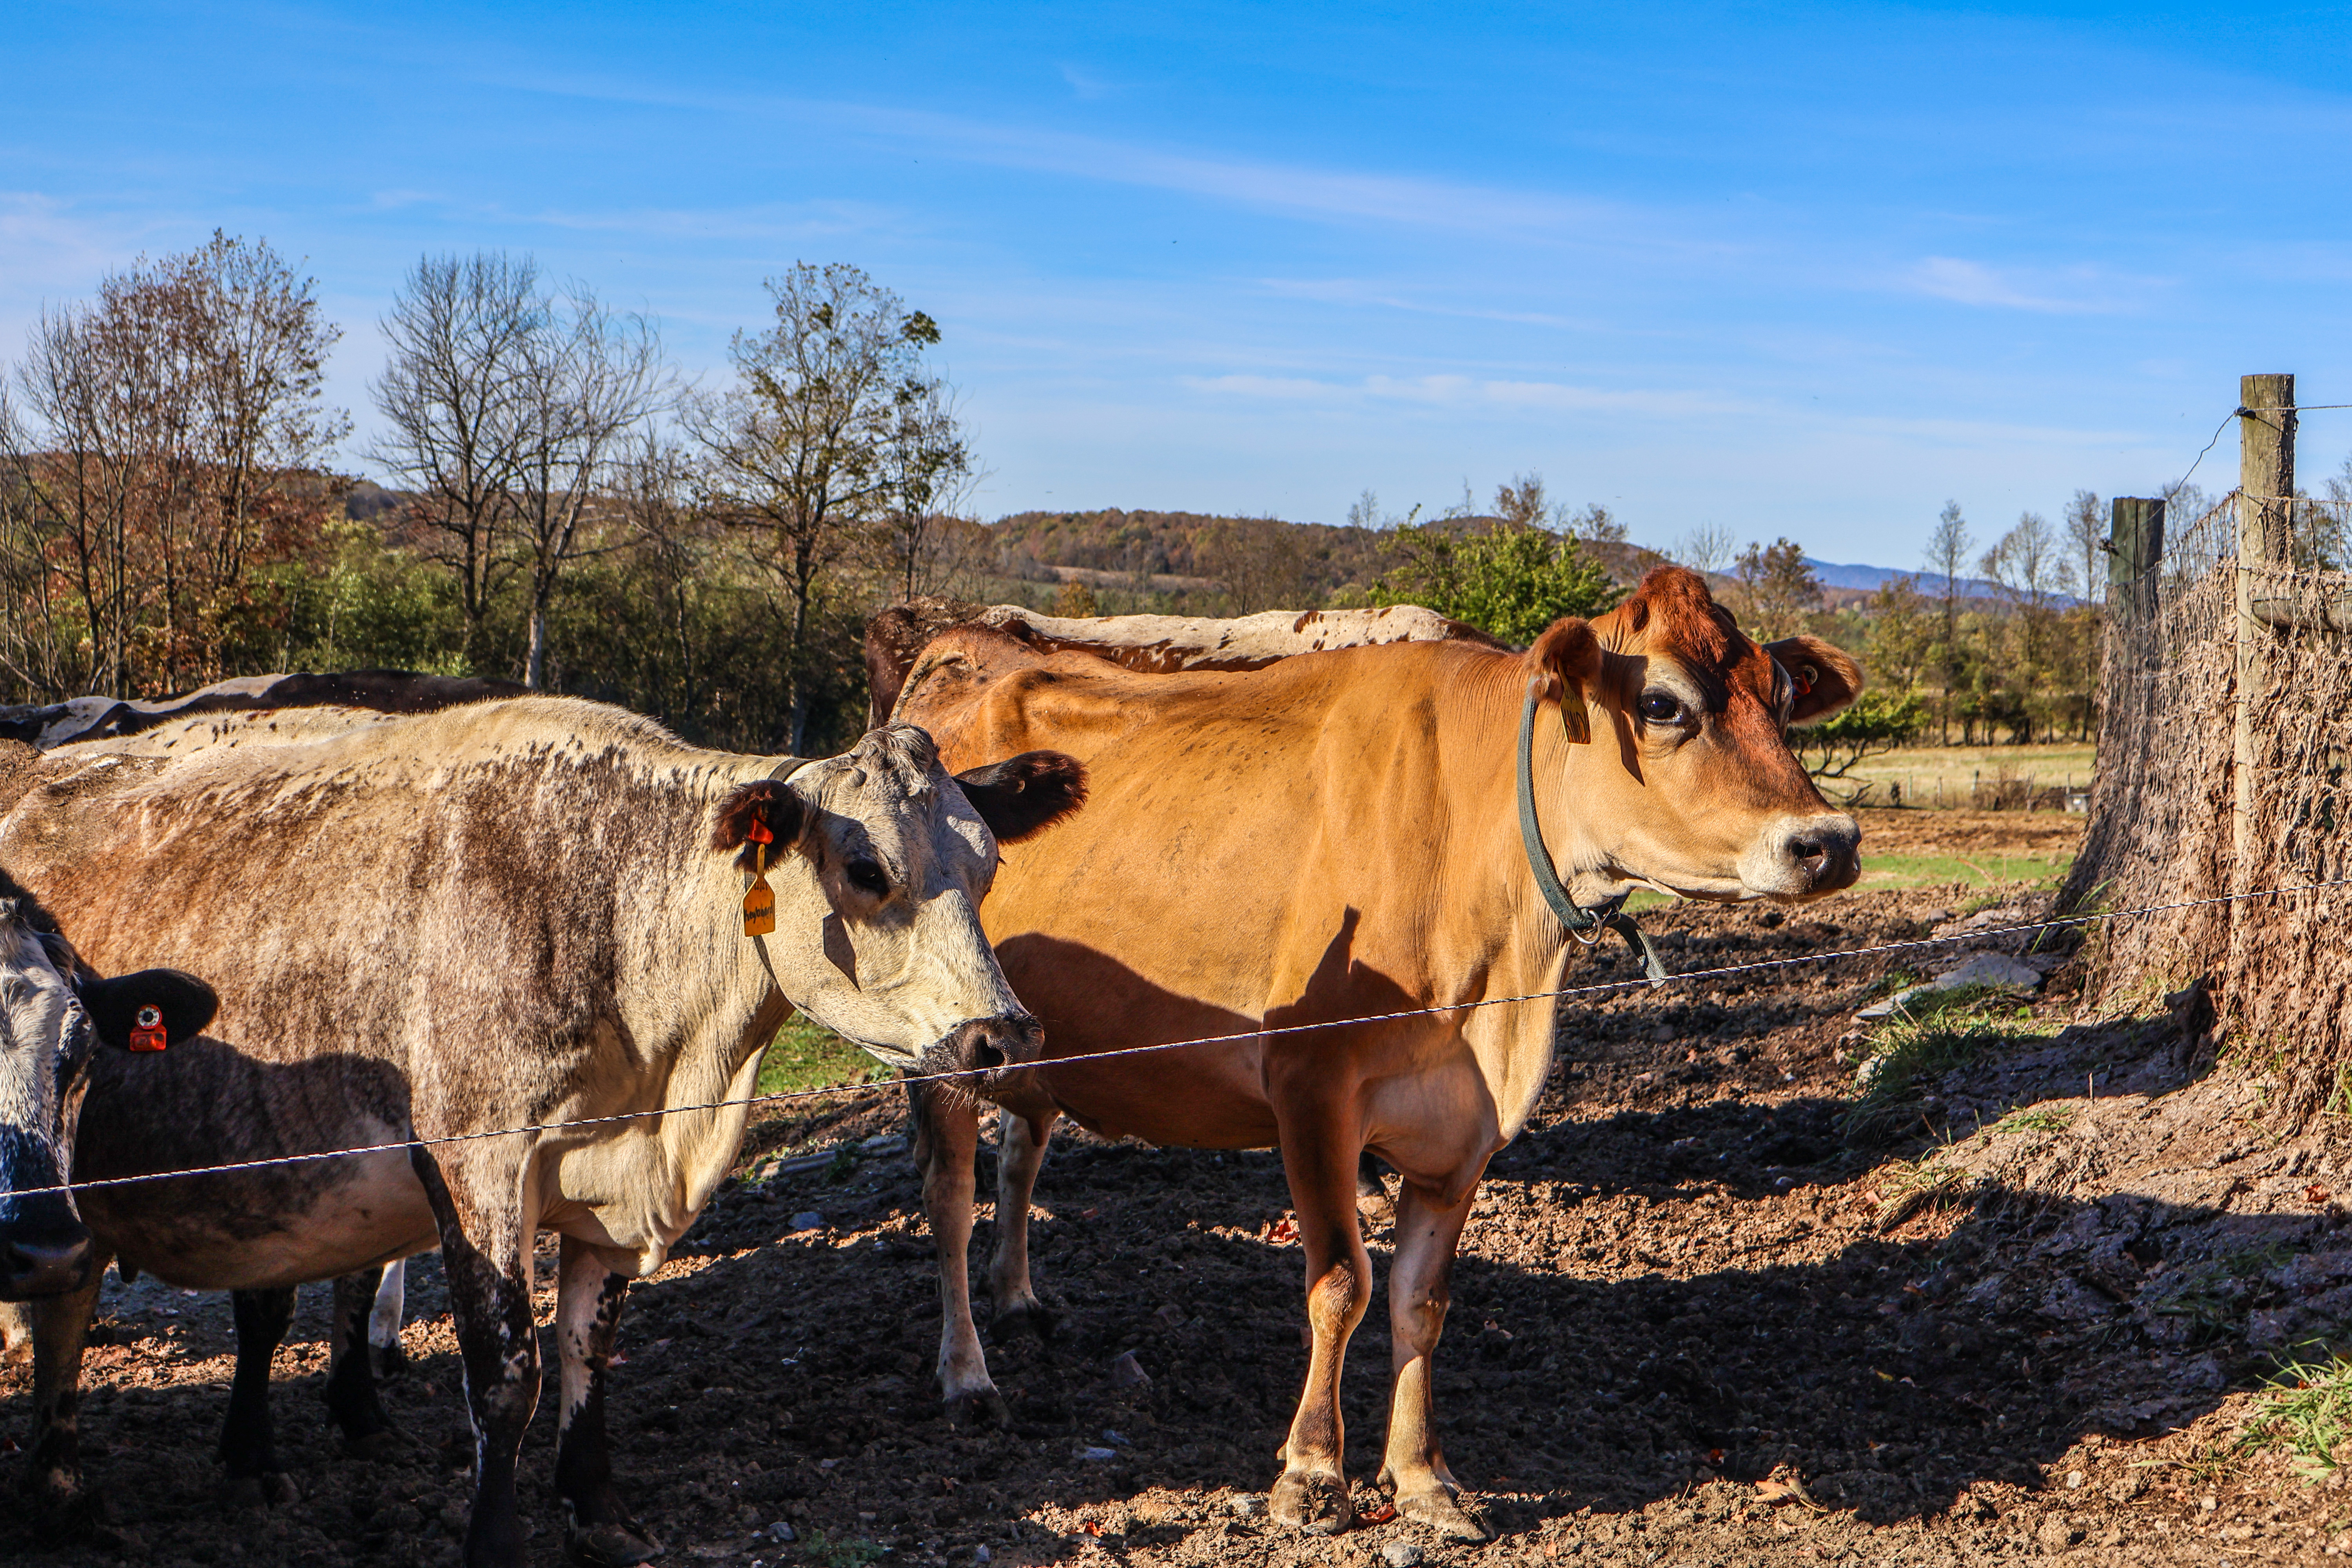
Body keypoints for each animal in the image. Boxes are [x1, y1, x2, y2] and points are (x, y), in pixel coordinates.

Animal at [0, 697, 1085, 1567]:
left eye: (989, 865)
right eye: (866, 867)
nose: (1006, 1036)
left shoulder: (612, 1182)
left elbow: (587, 1348)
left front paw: (595, 1503)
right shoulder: (477, 1166)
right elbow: (507, 1371)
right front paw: (496, 1538)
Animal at [884, 566, 1861, 1540]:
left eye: (1782, 696)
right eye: (1662, 702)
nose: (1830, 841)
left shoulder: (1465, 1130)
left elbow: (1420, 1301)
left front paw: (1423, 1474)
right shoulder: (1313, 1090)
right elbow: (1341, 1284)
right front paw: (1314, 1472)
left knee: (1022, 1151)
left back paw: (1017, 1295)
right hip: (940, 1049)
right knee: (950, 1197)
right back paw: (967, 1373)